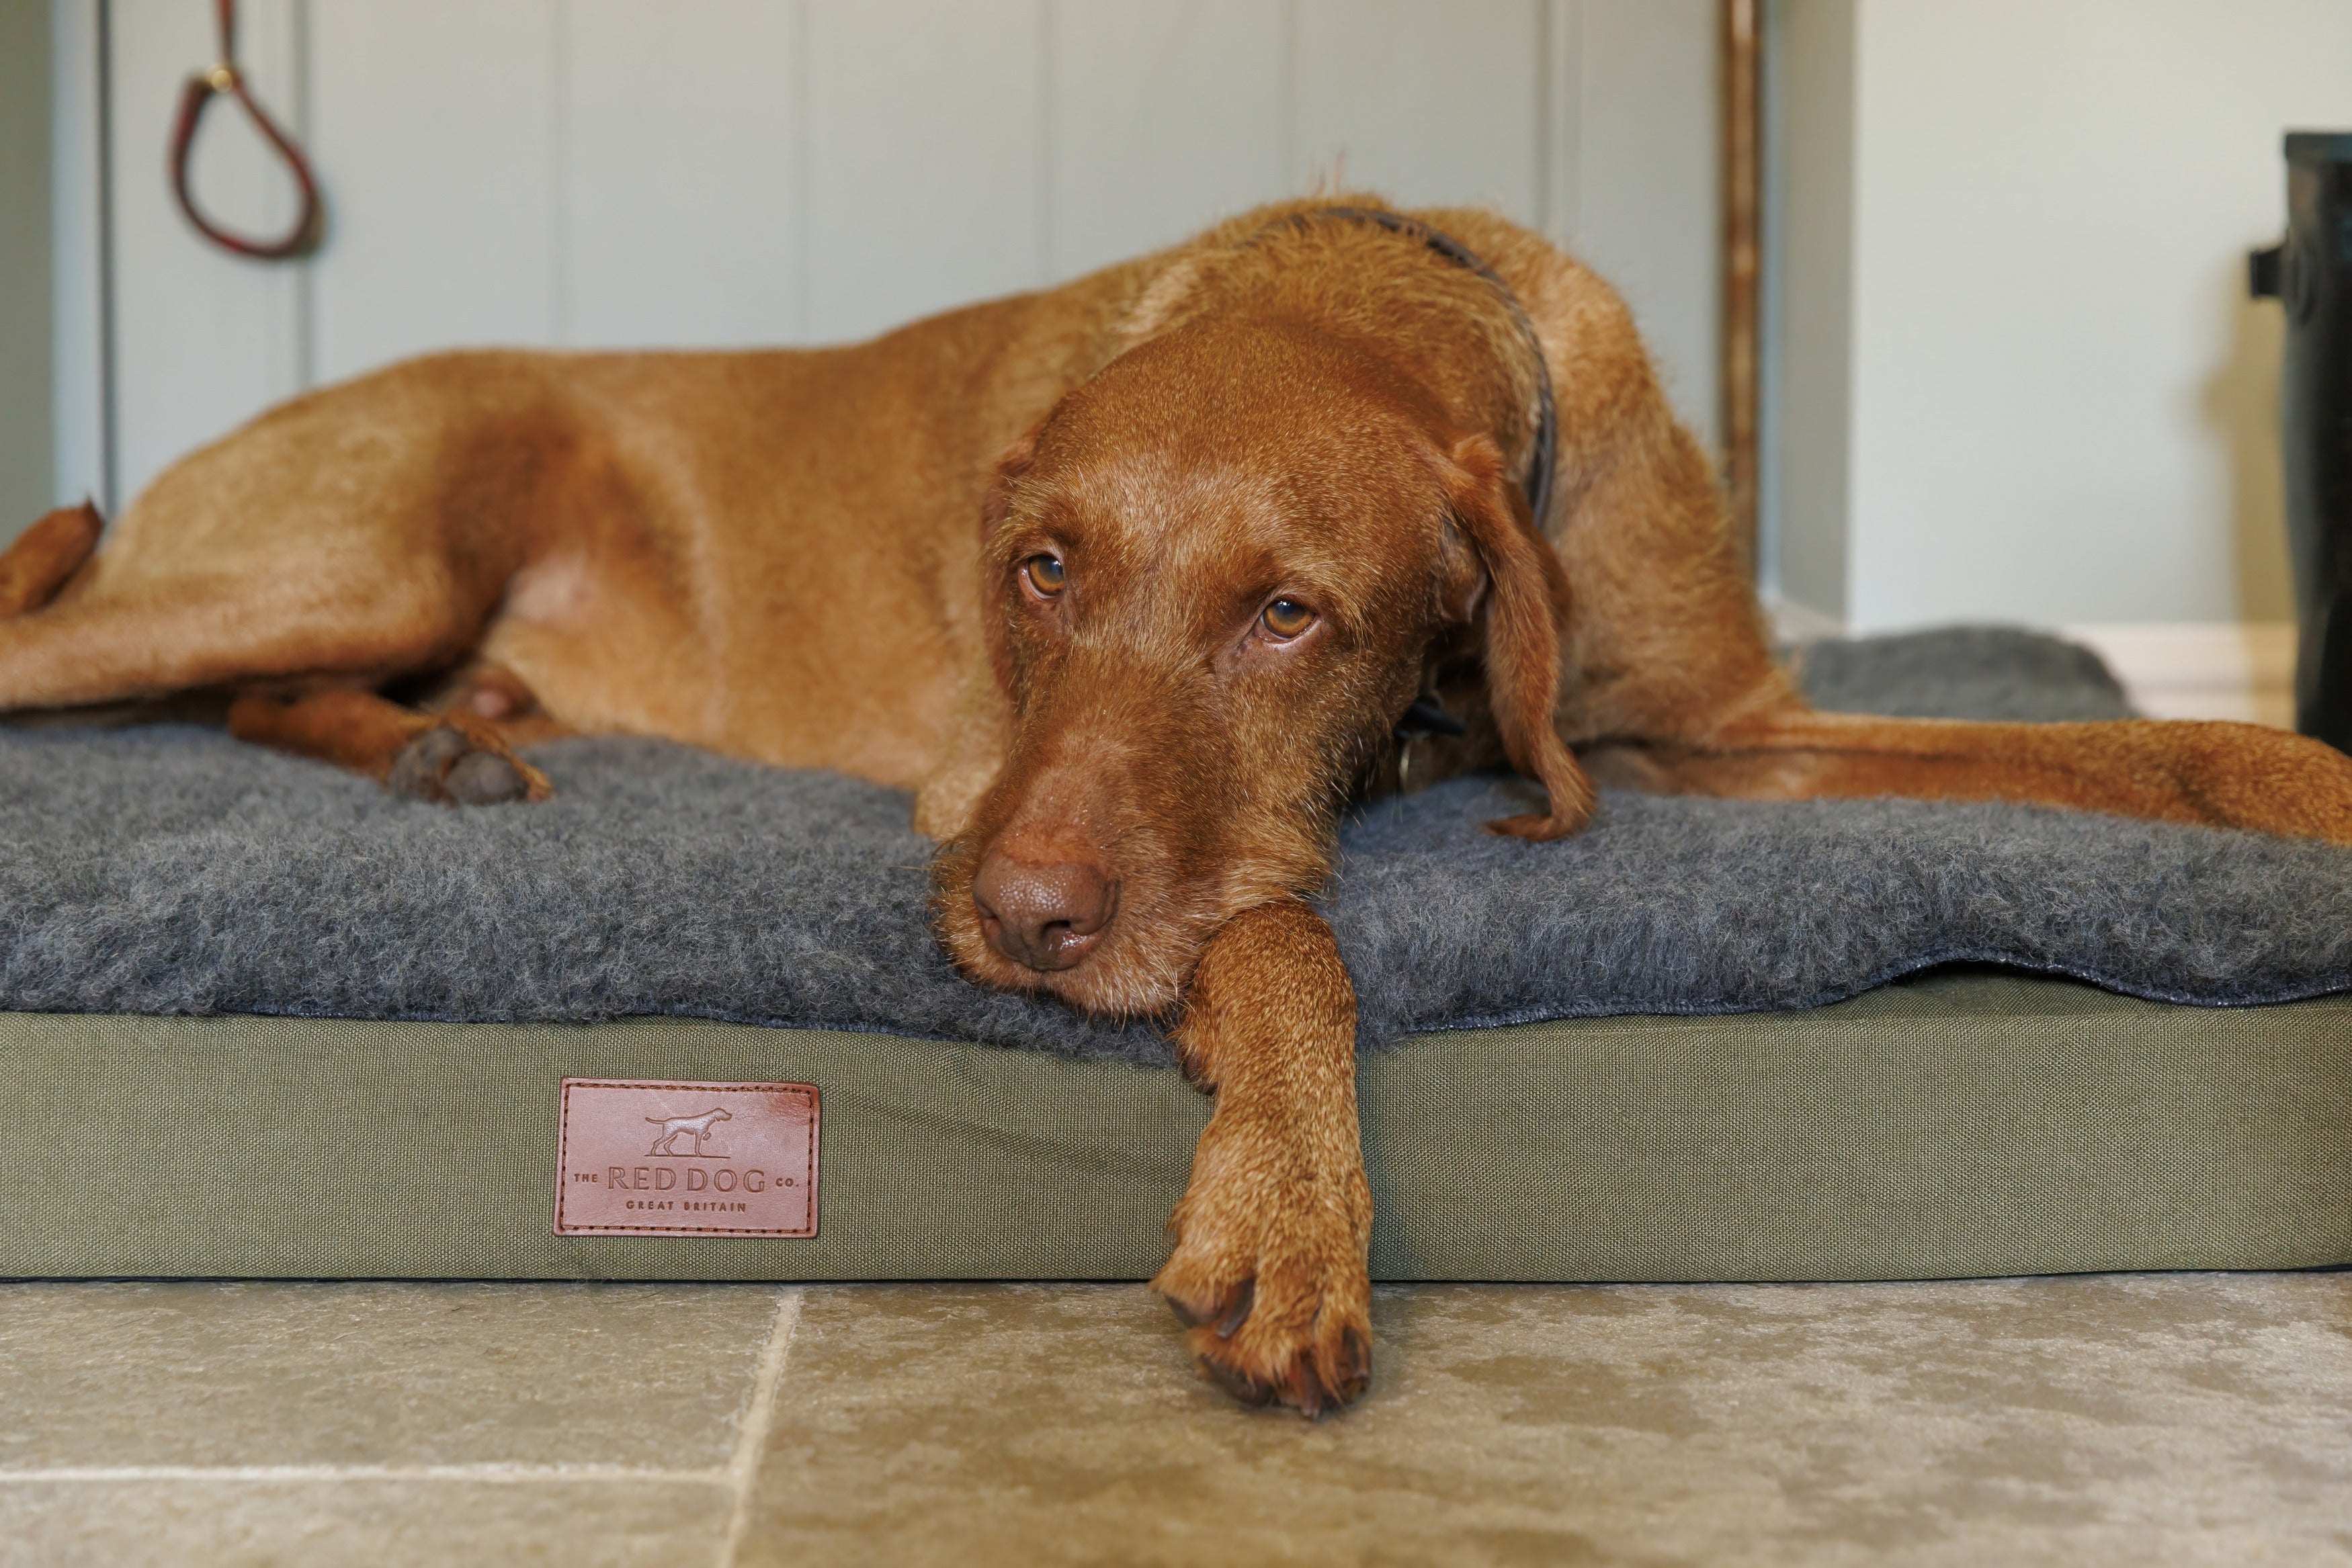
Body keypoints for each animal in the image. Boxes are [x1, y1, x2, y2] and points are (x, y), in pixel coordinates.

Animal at [4, 192, 2352, 1410]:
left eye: (1288, 613)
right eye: (1040, 569)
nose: (1022, 922)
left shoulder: (1713, 730)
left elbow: (2132, 749)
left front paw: (2295, 770)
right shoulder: (998, 776)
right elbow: (1278, 927)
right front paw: (1294, 1209)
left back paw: (439, 740)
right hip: (358, 545)